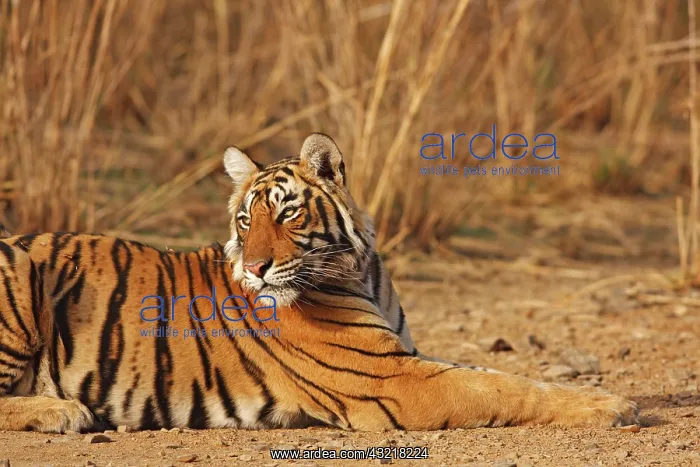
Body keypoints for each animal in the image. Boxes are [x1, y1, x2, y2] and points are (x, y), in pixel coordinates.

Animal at [0, 133, 638, 433]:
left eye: (286, 214)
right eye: (244, 220)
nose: (254, 268)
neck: (360, 270)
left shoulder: (403, 358)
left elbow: (497, 374)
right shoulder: (393, 379)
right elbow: (500, 388)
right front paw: (613, 404)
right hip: (20, 278)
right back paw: (61, 412)